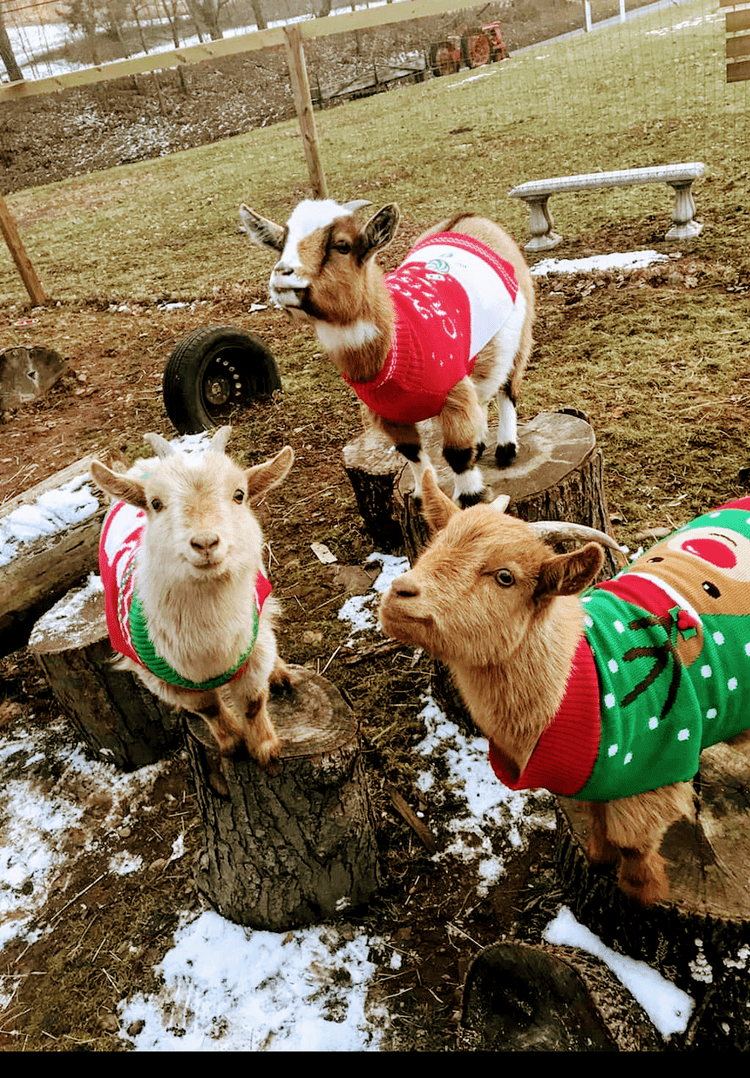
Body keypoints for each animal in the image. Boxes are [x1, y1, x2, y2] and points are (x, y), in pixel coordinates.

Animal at [90, 426, 294, 767]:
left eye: (239, 494)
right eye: (155, 503)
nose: (205, 543)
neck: (208, 648)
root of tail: (139, 467)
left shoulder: (253, 650)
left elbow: (253, 702)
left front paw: (265, 748)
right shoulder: (159, 678)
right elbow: (206, 708)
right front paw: (231, 744)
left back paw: (279, 674)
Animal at [239, 197, 535, 507]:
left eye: (343, 245)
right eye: (281, 244)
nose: (282, 275)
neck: (396, 341)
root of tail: (470, 217)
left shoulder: (452, 392)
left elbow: (457, 455)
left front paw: (471, 499)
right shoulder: (388, 414)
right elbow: (412, 453)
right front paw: (423, 496)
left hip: (522, 332)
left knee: (508, 388)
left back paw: (506, 449)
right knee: (484, 388)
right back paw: (481, 440)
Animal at [379, 470, 750, 905]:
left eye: (506, 577)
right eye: (432, 546)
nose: (399, 596)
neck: (582, 677)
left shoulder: (658, 768)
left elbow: (633, 842)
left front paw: (643, 891)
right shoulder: (589, 781)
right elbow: (597, 819)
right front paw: (599, 859)